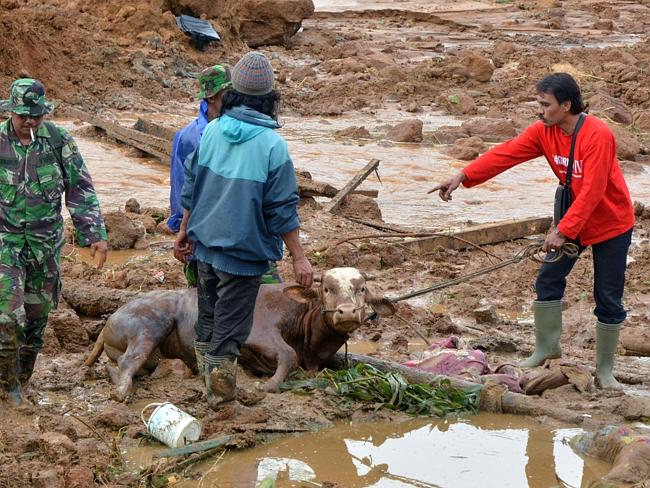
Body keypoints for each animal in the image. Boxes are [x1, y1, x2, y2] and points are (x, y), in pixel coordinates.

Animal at [83, 268, 392, 402]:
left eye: (361, 289)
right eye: (327, 289)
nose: (347, 312)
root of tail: (112, 318)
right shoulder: (260, 333)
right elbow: (287, 354)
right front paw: (269, 385)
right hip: (148, 327)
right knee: (128, 362)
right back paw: (122, 391)